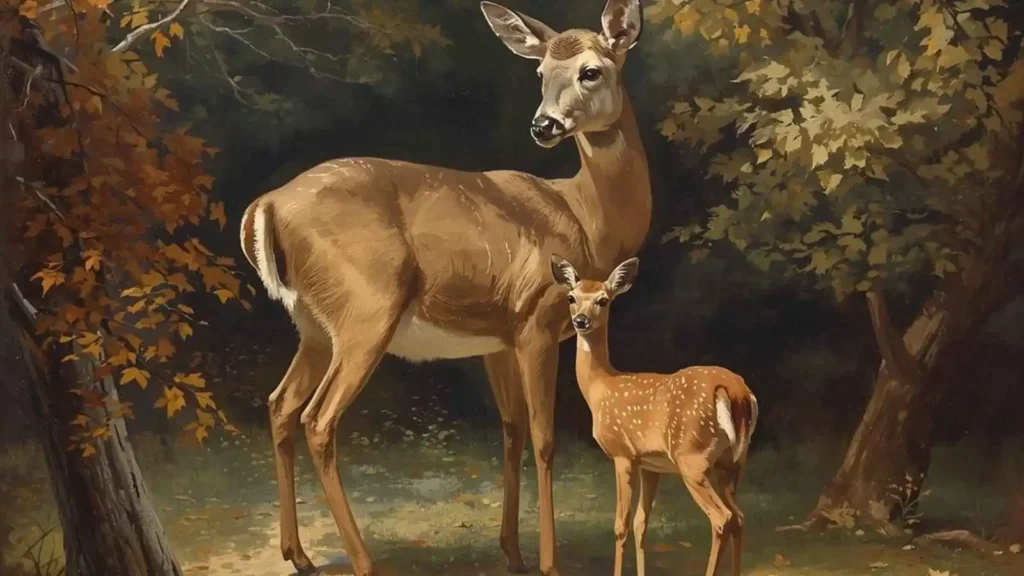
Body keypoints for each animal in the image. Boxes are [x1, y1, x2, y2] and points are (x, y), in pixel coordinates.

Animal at [236, 2, 651, 575]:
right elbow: (545, 439)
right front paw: (548, 563)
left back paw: (298, 554)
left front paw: (512, 552)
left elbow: (511, 430)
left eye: (591, 71)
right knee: (318, 420)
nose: (543, 124)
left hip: (315, 326)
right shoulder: (538, 319)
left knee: (280, 404)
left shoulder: (499, 338)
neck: (588, 218)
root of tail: (267, 204)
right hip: (368, 311)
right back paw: (363, 561)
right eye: (541, 72)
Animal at [549, 255, 759, 576]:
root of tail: (736, 392)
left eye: (603, 300)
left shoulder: (622, 454)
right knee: (741, 517)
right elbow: (641, 524)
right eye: (571, 297)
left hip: (692, 458)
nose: (580, 321)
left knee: (722, 518)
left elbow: (620, 525)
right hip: (732, 462)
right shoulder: (651, 464)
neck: (601, 388)